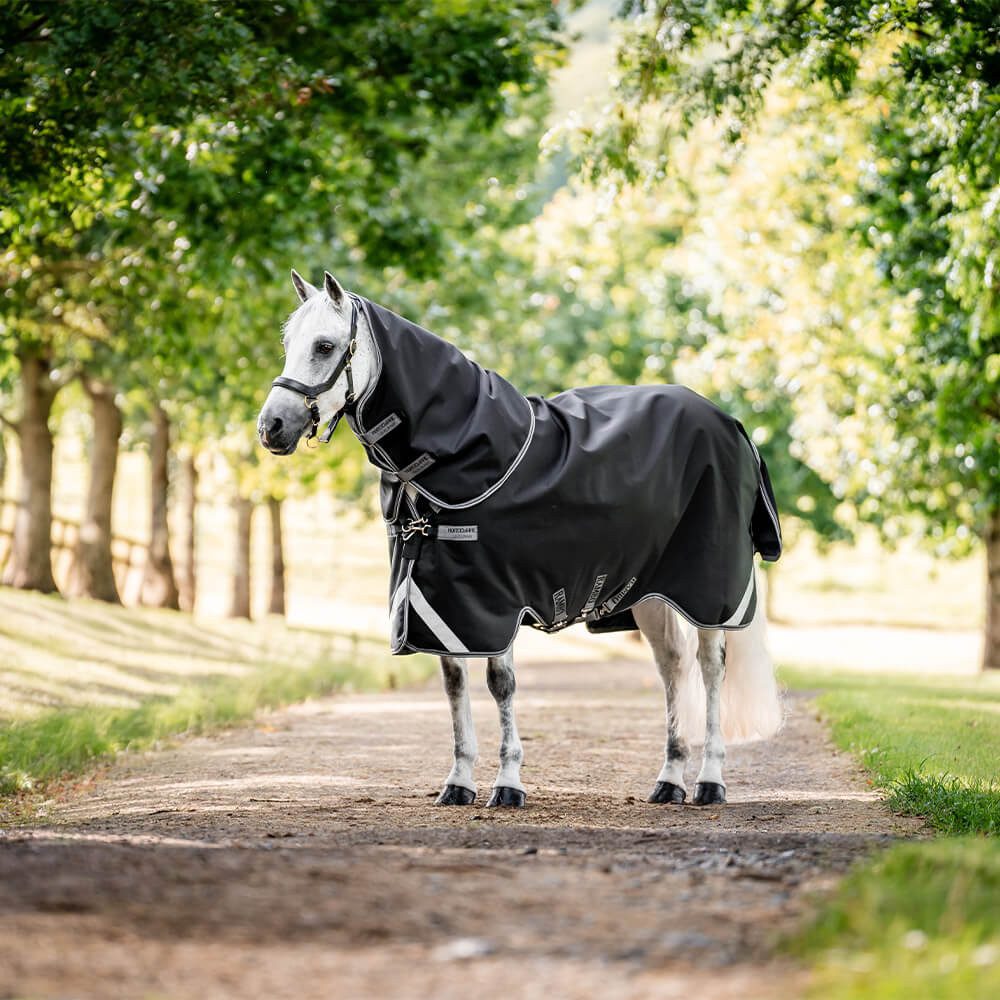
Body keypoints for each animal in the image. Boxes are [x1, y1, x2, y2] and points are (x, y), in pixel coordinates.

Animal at [258, 270, 783, 808]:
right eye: (287, 343)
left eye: (325, 346)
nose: (271, 427)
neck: (461, 454)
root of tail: (732, 424)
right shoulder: (442, 601)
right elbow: (453, 683)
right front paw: (458, 782)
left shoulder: (495, 600)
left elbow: (500, 684)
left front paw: (508, 784)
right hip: (651, 592)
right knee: (672, 666)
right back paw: (669, 780)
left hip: (708, 591)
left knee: (710, 667)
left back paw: (709, 781)